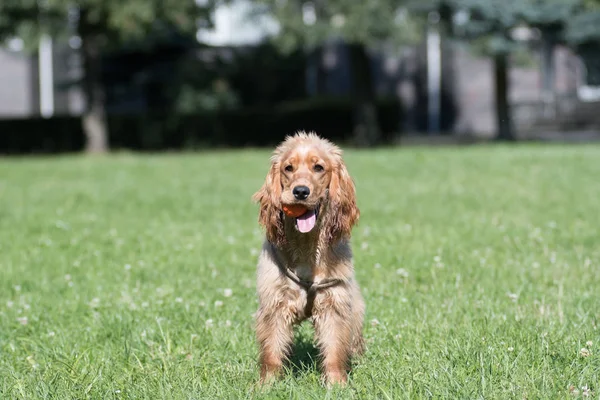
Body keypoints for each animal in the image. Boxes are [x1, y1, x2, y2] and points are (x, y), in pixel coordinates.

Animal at [250, 130, 364, 384]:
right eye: (288, 168)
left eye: (318, 167)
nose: (300, 191)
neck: (306, 246)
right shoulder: (275, 303)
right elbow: (272, 352)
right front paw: (266, 385)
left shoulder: (334, 303)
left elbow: (334, 350)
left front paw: (337, 384)